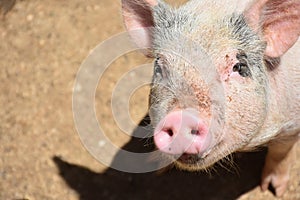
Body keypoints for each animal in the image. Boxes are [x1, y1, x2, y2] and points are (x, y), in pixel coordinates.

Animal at [120, 0, 298, 197]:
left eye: (238, 66)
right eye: (160, 65)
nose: (181, 117)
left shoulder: (292, 125)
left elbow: (280, 153)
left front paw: (274, 190)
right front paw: (155, 167)